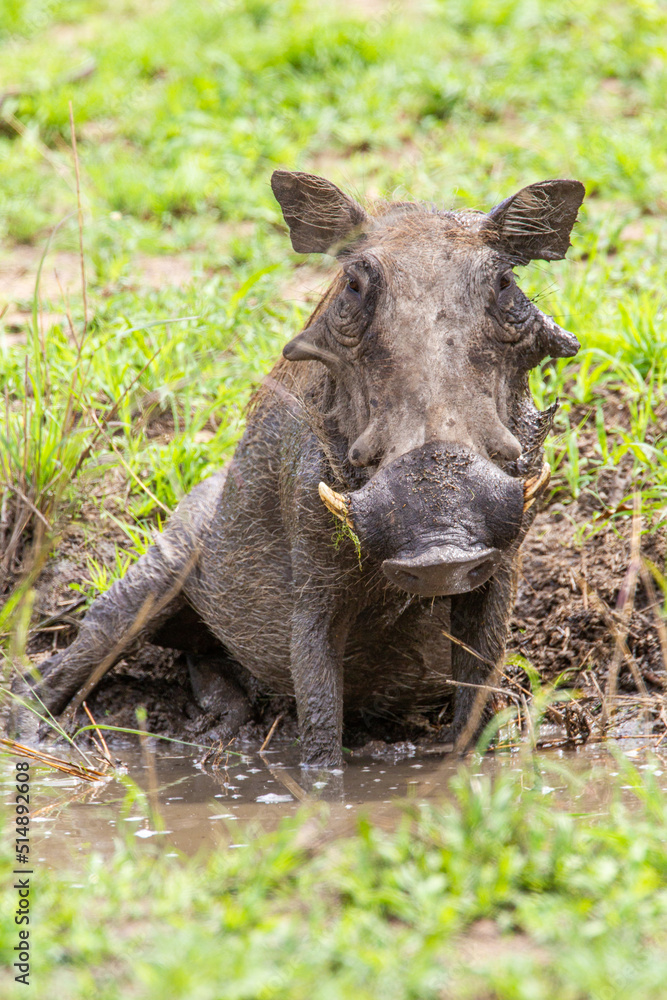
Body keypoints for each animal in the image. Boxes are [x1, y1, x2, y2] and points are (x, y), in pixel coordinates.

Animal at [11, 171, 584, 766]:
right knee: (56, 669)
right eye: (353, 287)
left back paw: (220, 725)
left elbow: (474, 709)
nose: (439, 552)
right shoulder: (313, 592)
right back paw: (42, 737)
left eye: (505, 283)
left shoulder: (499, 570)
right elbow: (320, 730)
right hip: (154, 576)